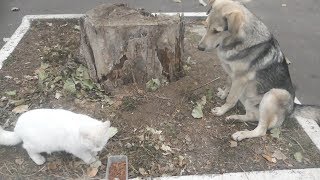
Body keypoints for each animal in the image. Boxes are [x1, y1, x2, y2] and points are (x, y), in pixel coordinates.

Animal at [199, 0, 318, 141]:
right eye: (205, 25)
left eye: (217, 31)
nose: (199, 47)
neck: (239, 40)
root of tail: (293, 107)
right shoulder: (232, 73)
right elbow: (228, 84)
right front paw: (223, 93)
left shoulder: (240, 79)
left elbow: (231, 99)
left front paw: (222, 110)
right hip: (246, 96)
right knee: (252, 116)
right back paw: (235, 118)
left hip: (273, 94)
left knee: (261, 130)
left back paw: (241, 134)